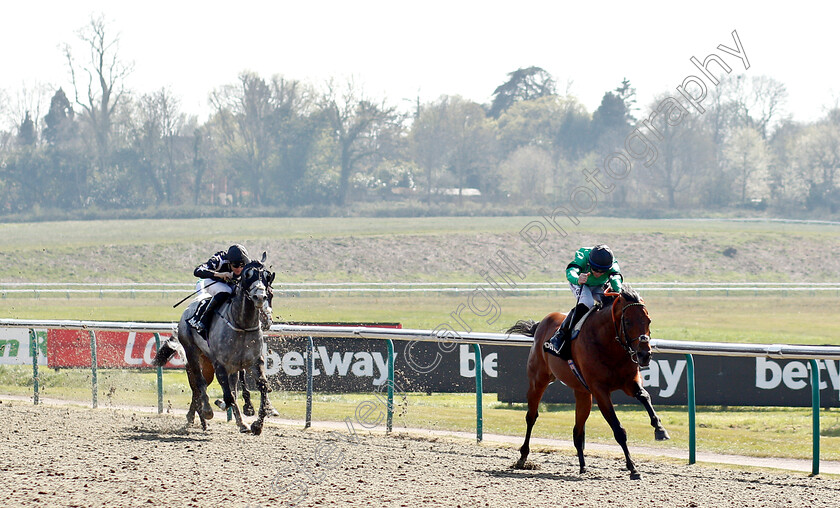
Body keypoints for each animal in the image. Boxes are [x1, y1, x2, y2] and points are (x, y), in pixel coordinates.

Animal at [156, 253, 274, 432]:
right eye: (247, 275)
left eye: (266, 276)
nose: (259, 297)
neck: (242, 325)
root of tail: (188, 310)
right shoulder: (221, 365)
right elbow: (228, 396)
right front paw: (218, 405)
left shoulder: (253, 362)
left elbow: (261, 388)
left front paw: (257, 424)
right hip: (192, 354)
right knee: (200, 383)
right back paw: (206, 412)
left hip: (210, 364)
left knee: (210, 388)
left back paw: (239, 423)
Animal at [506, 286, 668, 480]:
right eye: (628, 322)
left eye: (648, 321)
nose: (645, 355)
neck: (609, 344)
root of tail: (540, 325)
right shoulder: (600, 390)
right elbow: (618, 430)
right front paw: (633, 468)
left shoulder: (630, 381)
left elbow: (644, 396)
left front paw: (660, 429)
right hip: (538, 380)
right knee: (531, 416)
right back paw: (523, 457)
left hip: (582, 393)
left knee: (577, 430)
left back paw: (583, 466)